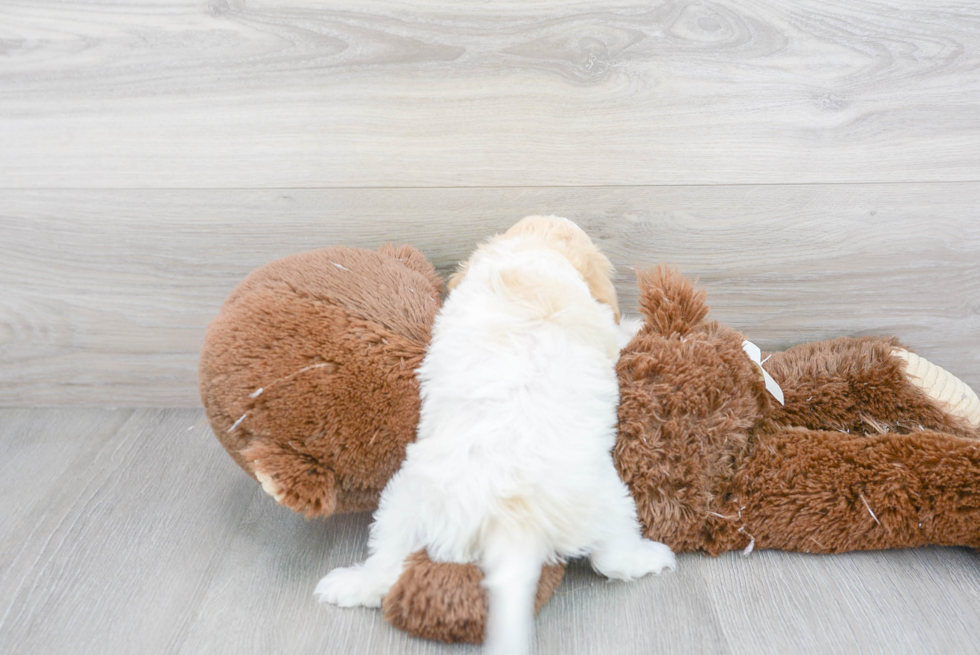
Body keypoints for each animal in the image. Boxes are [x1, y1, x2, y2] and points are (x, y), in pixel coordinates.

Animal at [318, 217, 676, 655]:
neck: (530, 259)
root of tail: (510, 522)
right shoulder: (597, 321)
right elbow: (615, 331)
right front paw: (635, 324)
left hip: (404, 502)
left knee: (385, 566)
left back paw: (349, 584)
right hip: (610, 502)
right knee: (614, 559)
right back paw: (652, 557)